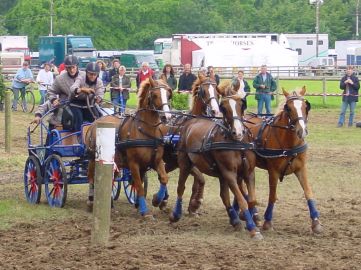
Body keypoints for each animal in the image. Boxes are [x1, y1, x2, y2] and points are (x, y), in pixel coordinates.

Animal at [169, 92, 262, 239]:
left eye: (241, 106)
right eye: (224, 108)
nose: (238, 132)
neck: (237, 144)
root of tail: (190, 122)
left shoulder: (248, 172)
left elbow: (251, 200)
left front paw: (250, 221)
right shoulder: (229, 173)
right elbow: (242, 200)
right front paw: (253, 229)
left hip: (220, 174)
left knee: (224, 196)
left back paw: (235, 221)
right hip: (185, 163)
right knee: (180, 188)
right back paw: (175, 215)